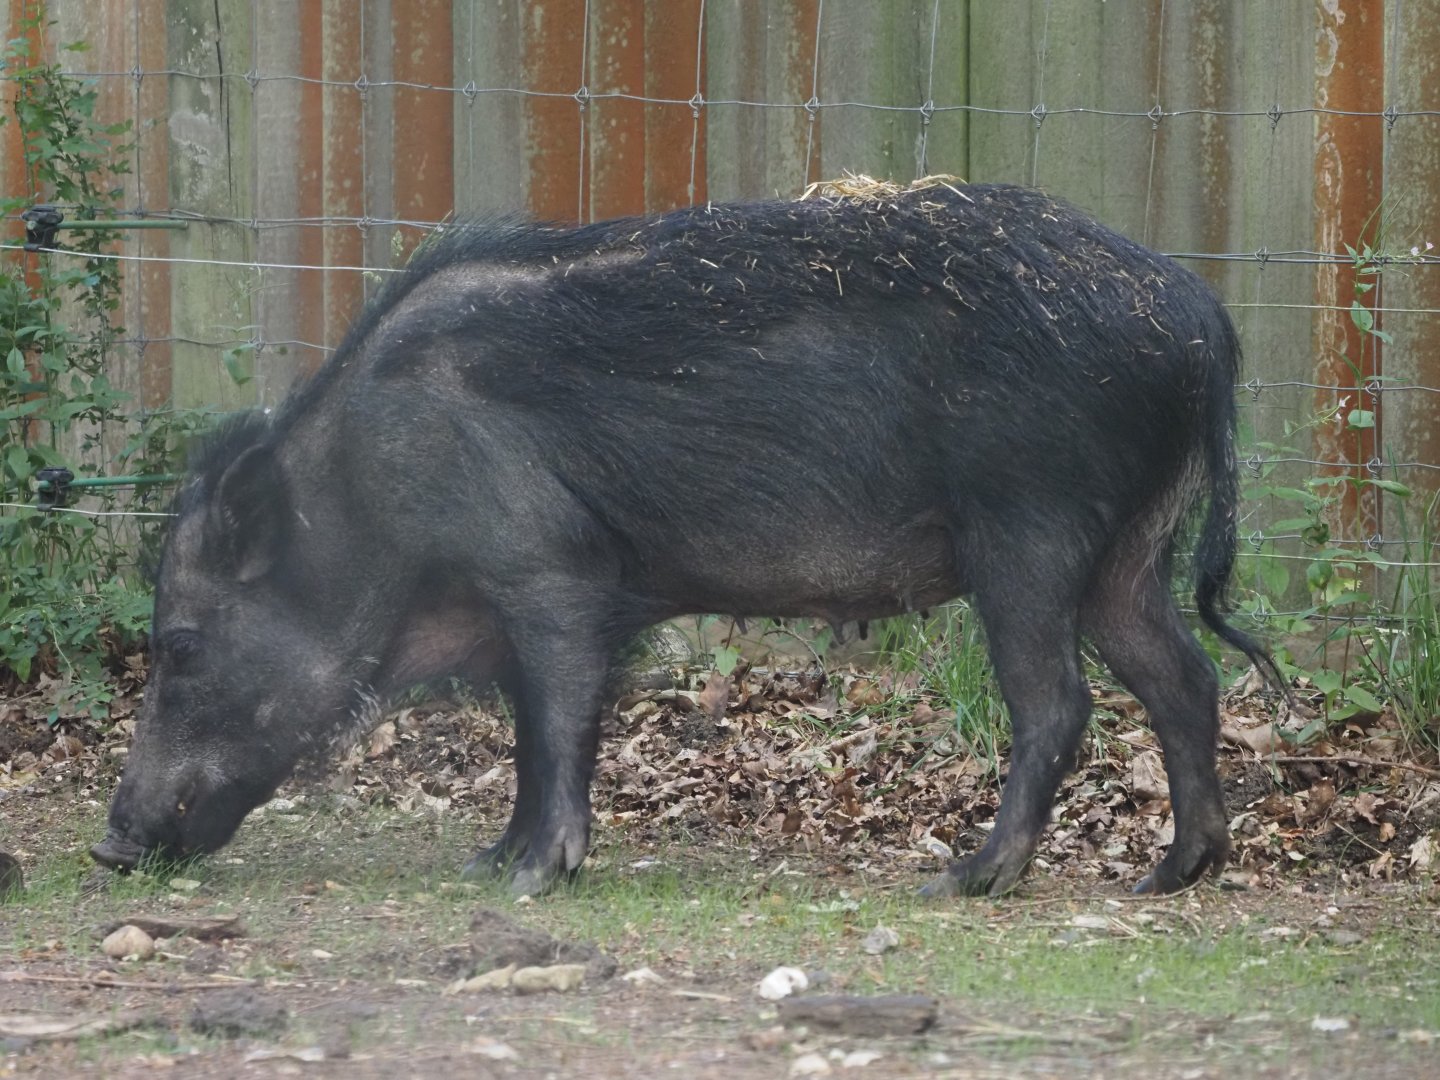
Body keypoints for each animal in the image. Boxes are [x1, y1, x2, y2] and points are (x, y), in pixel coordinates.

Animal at [91, 183, 1278, 898]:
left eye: (182, 644)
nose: (106, 841)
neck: (368, 495)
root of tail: (1200, 318)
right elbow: (527, 735)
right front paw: (487, 861)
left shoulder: (551, 571)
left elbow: (556, 723)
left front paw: (532, 878)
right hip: (1132, 549)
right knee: (1185, 677)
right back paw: (1173, 873)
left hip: (1028, 532)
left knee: (1060, 703)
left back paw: (964, 879)